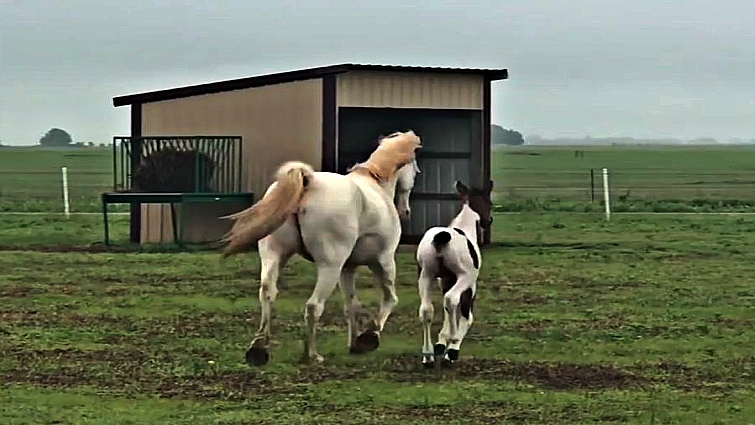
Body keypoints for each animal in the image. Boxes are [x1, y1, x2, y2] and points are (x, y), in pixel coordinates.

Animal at [219, 130, 422, 365]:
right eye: (414, 167)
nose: (406, 211)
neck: (375, 186)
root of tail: (309, 181)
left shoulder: (348, 268)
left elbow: (351, 306)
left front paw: (354, 344)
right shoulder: (382, 260)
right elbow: (390, 298)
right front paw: (369, 338)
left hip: (274, 256)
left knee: (268, 293)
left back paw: (259, 349)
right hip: (329, 266)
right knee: (313, 305)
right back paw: (312, 355)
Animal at [415, 180, 493, 368]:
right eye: (490, 203)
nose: (488, 221)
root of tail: (441, 238)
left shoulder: (445, 280)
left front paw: (441, 342)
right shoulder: (470, 283)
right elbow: (466, 315)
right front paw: (451, 346)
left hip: (425, 275)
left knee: (426, 309)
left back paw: (428, 355)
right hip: (464, 277)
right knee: (451, 300)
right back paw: (452, 347)